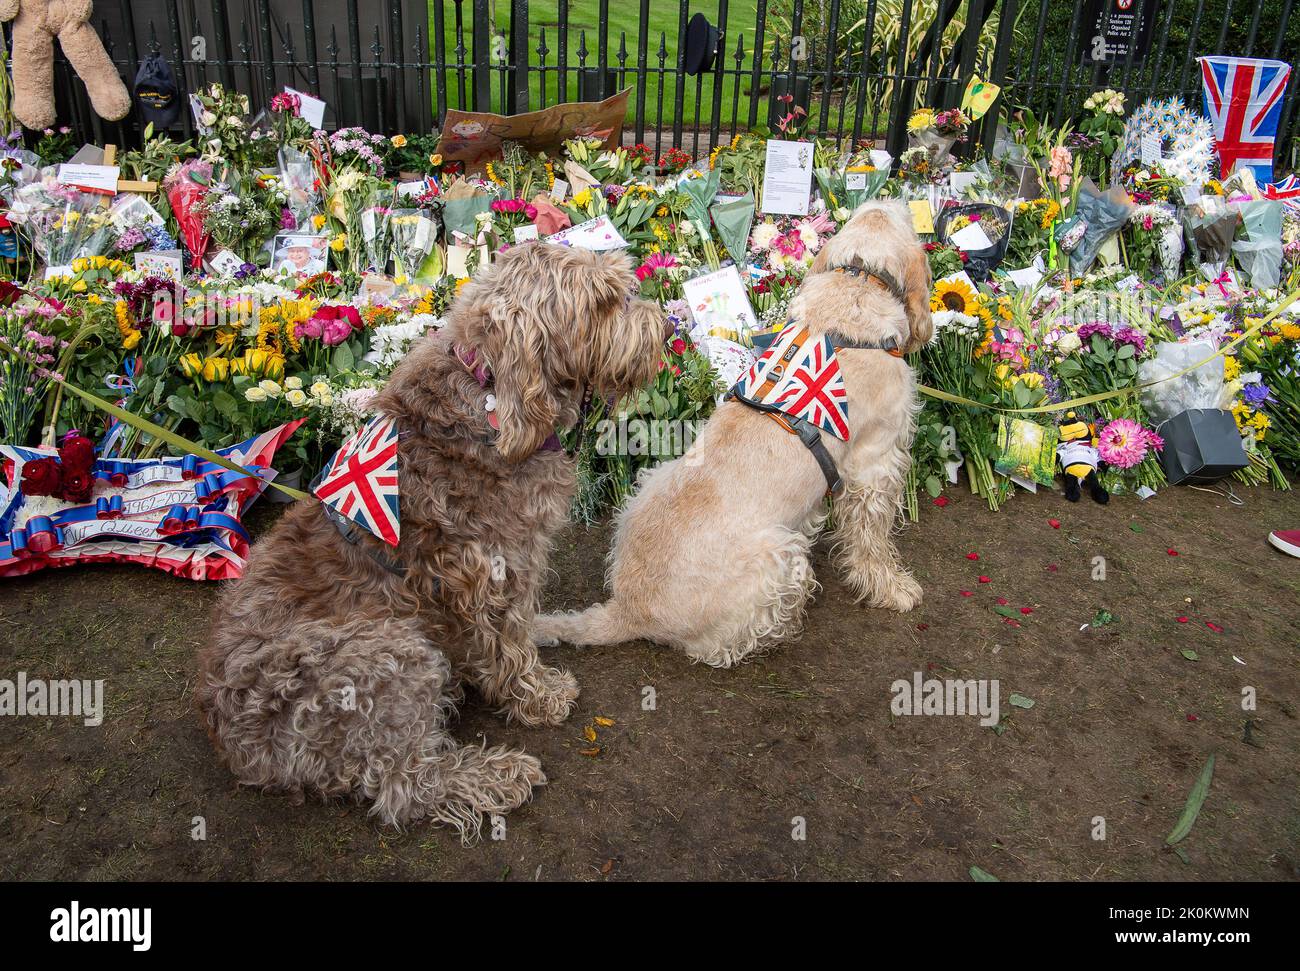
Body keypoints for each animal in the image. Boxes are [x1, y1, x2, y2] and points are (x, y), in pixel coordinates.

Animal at [200, 243, 670, 837]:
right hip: (390, 656)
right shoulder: (499, 569)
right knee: (405, 786)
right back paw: (495, 776)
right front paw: (537, 695)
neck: (489, 393)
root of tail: (236, 744)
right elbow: (512, 644)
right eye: (604, 301)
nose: (667, 326)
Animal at [538, 200, 935, 665]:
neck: (855, 282)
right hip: (781, 556)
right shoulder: (875, 465)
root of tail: (626, 609)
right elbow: (872, 541)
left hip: (652, 479)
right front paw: (894, 589)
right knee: (727, 645)